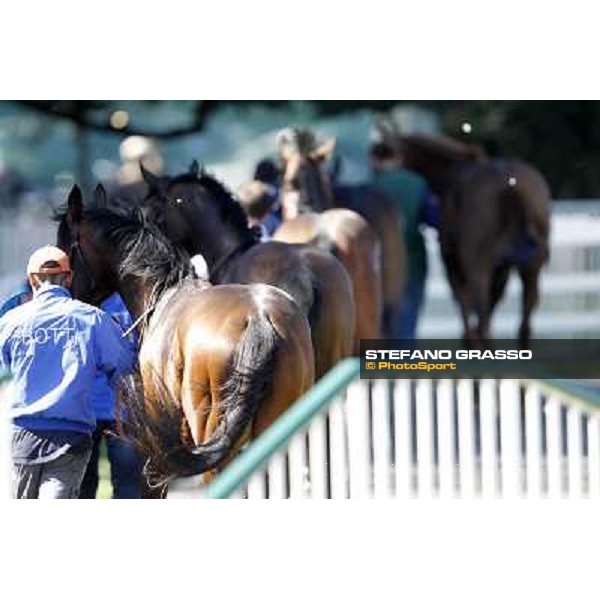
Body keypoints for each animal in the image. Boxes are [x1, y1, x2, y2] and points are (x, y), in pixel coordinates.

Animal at [398, 133, 548, 344]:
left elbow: (466, 308)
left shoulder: (453, 267)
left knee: (482, 310)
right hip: (532, 266)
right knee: (525, 315)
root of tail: (510, 185)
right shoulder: (501, 270)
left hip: (477, 265)